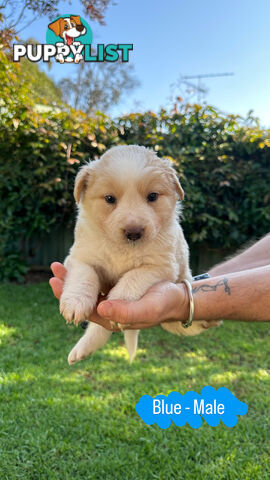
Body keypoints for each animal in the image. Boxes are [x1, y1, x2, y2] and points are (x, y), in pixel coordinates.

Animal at [61, 146, 219, 364]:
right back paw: (81, 350)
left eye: (152, 196)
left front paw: (117, 302)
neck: (124, 248)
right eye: (109, 199)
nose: (134, 232)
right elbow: (84, 276)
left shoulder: (161, 266)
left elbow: (132, 278)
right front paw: (75, 304)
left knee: (178, 324)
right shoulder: (79, 257)